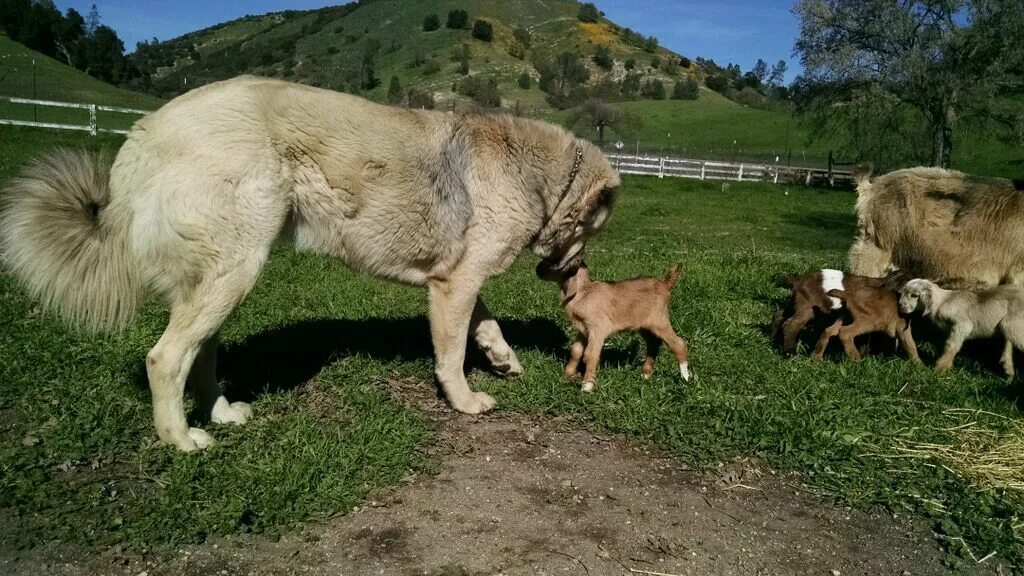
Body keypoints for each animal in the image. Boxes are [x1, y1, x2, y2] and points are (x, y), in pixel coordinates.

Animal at [0, 73, 618, 448]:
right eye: (593, 228)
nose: (569, 272)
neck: (540, 177)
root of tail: (144, 133)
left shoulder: (454, 281)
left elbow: (483, 325)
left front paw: (502, 359)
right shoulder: (456, 284)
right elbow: (450, 353)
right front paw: (465, 401)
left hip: (224, 278)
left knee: (199, 354)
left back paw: (220, 414)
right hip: (236, 269)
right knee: (166, 357)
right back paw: (183, 440)